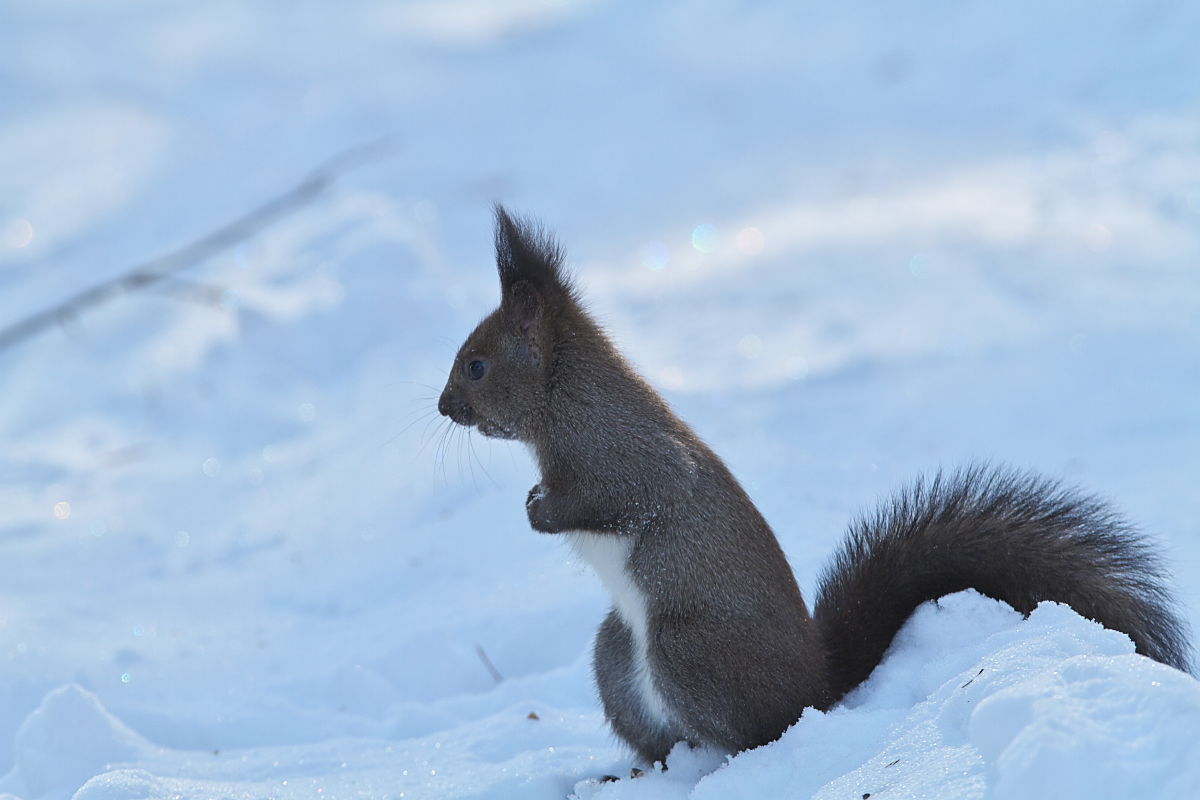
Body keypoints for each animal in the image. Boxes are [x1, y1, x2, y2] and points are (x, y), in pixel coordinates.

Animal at [434, 209, 1190, 767]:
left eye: (475, 365)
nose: (442, 407)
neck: (564, 396)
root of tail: (816, 684)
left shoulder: (627, 459)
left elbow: (620, 498)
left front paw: (539, 510)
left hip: (688, 649)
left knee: (751, 733)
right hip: (617, 656)